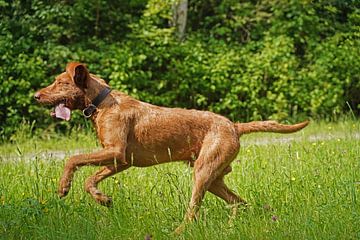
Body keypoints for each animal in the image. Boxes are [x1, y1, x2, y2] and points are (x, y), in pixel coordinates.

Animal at [34, 62, 310, 232]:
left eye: (60, 83)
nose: (36, 96)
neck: (102, 103)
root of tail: (233, 125)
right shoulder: (121, 161)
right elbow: (89, 179)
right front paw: (102, 199)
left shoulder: (115, 152)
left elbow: (73, 158)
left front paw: (63, 186)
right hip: (214, 178)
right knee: (238, 203)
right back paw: (231, 228)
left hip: (202, 174)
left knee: (193, 212)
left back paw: (179, 231)